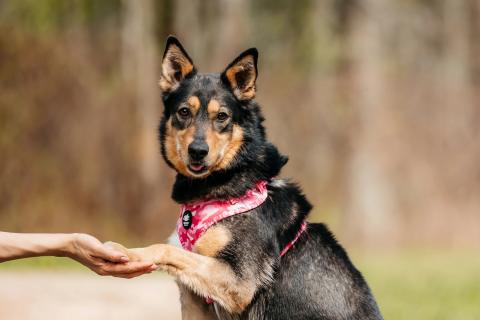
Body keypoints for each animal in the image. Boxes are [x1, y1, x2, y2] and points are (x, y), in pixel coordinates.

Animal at [109, 36, 382, 318]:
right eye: (184, 112)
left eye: (222, 116)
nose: (197, 151)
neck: (226, 180)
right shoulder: (197, 301)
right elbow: (175, 254)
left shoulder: (239, 281)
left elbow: (165, 249)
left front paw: (132, 253)